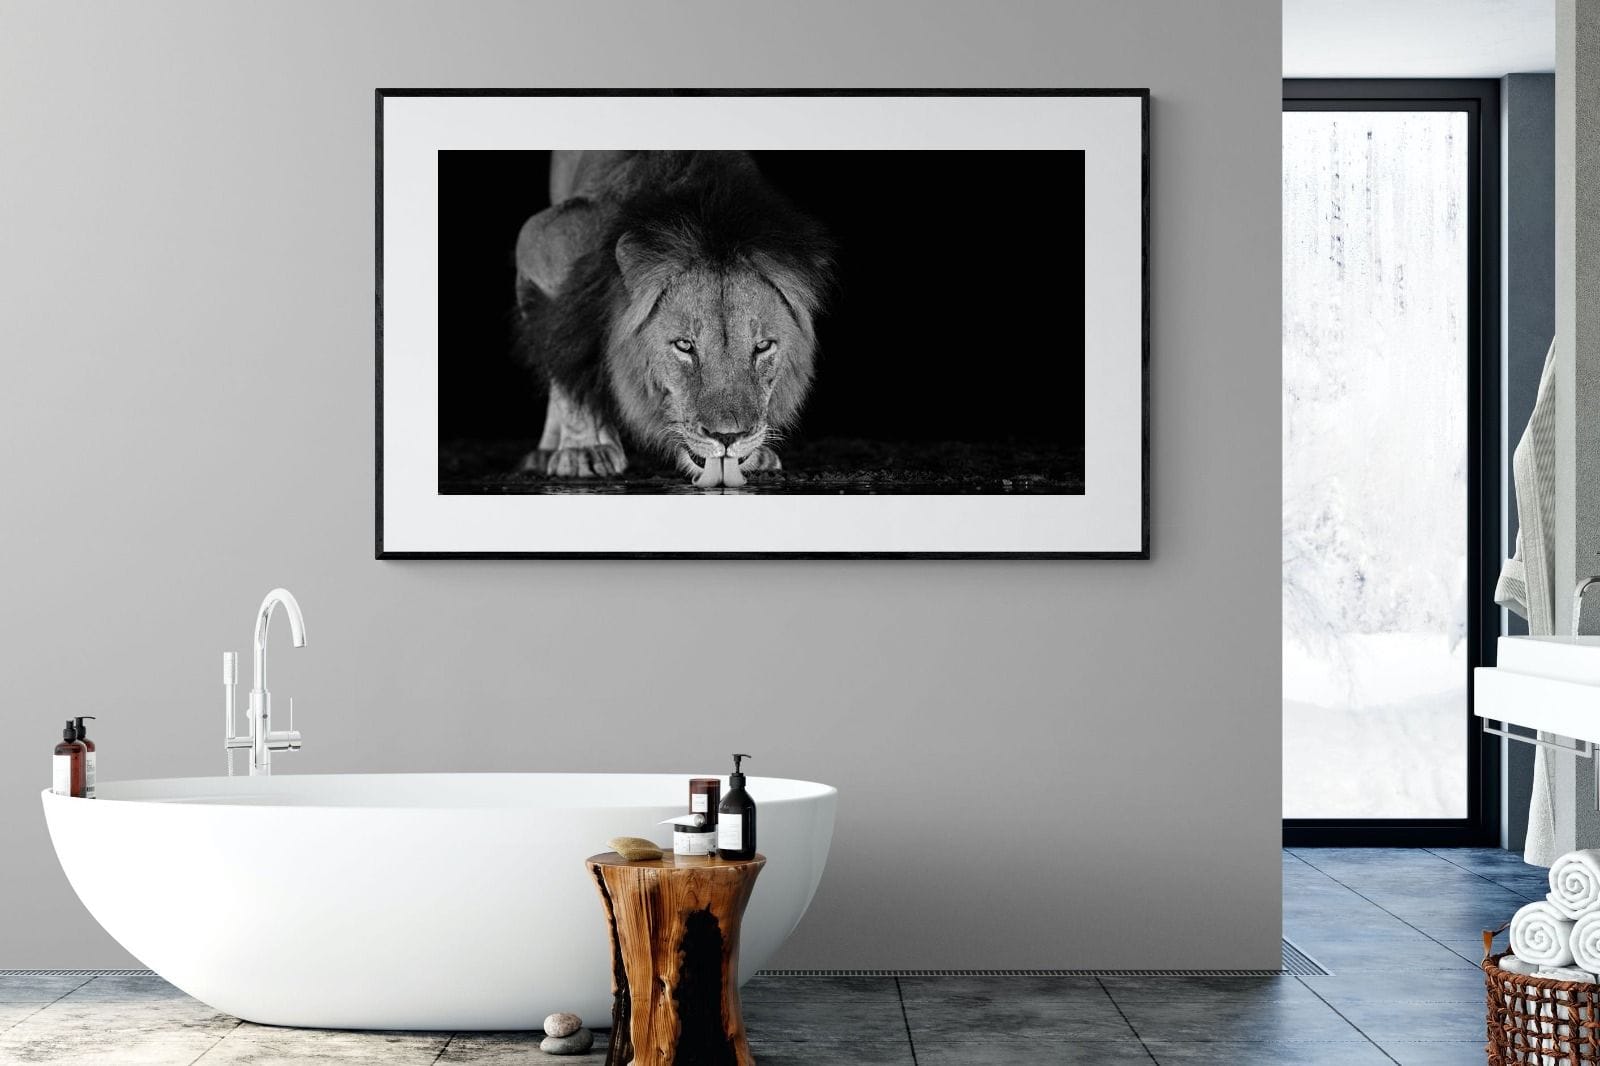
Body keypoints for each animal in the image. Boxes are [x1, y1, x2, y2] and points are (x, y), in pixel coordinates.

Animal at [511, 151, 833, 485]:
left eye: (763, 346)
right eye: (684, 346)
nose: (728, 437)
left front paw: (756, 455)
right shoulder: (540, 241)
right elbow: (566, 355)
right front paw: (584, 450)